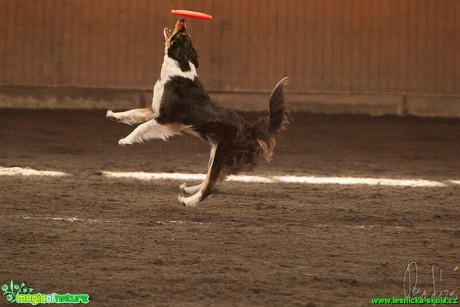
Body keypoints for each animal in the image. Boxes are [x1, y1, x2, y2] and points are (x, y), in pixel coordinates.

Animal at [106, 18, 290, 207]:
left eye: (182, 34)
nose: (183, 20)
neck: (179, 67)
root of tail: (251, 129)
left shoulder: (166, 118)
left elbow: (141, 127)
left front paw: (125, 141)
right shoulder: (155, 110)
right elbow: (133, 112)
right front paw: (113, 115)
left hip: (221, 153)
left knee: (210, 186)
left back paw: (188, 200)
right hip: (215, 152)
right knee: (214, 179)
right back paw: (189, 189)